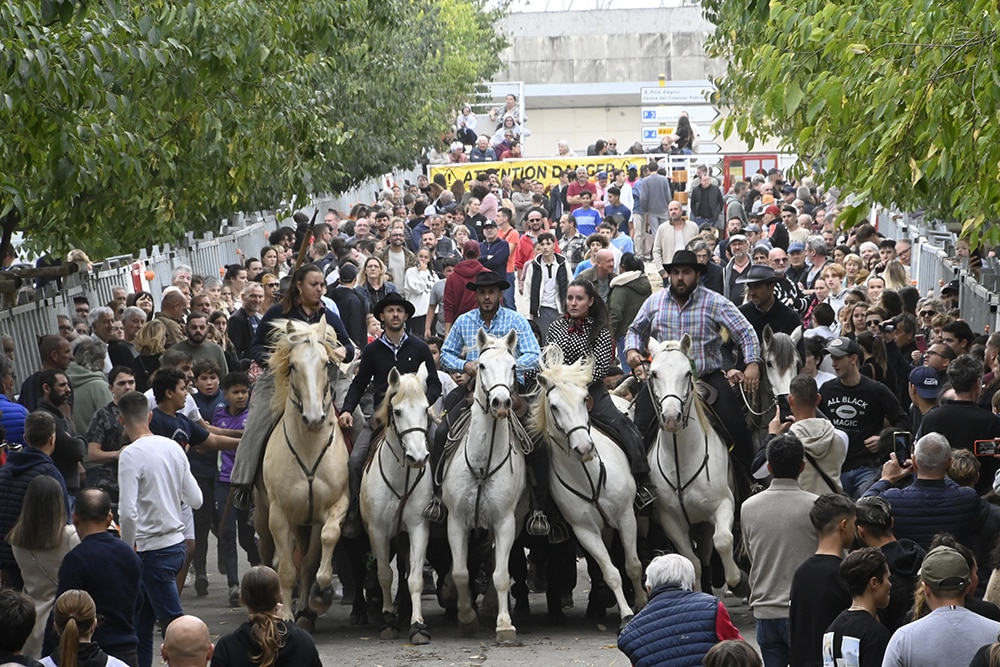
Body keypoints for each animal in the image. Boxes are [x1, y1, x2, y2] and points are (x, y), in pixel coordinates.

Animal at [254, 320, 348, 628]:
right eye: (293, 366)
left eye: (325, 363)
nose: (314, 418)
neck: (308, 447)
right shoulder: (279, 514)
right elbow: (285, 569)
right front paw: (285, 614)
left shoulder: (332, 507)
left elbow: (317, 553)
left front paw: (318, 598)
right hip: (262, 513)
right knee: (266, 555)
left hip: (303, 521)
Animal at [362, 368, 436, 644]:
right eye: (398, 411)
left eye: (425, 408)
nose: (418, 457)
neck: (400, 478)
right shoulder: (377, 531)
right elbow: (385, 574)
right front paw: (388, 620)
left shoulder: (418, 527)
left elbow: (414, 577)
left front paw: (418, 625)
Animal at [442, 328, 528, 640]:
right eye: (480, 365)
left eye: (513, 366)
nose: (501, 403)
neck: (482, 465)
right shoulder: (455, 521)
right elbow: (460, 572)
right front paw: (466, 617)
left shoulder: (505, 522)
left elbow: (500, 574)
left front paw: (504, 625)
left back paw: (491, 606)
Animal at [532, 348, 648, 628]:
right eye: (554, 406)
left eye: (585, 399)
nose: (584, 448)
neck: (588, 475)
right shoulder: (585, 530)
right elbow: (609, 571)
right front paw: (626, 614)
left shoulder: (626, 517)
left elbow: (633, 564)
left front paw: (640, 603)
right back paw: (597, 604)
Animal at [648, 336, 744, 592]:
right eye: (654, 373)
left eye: (687, 373)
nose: (672, 418)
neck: (682, 459)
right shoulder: (671, 520)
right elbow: (692, 562)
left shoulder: (722, 504)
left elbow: (723, 541)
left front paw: (736, 579)